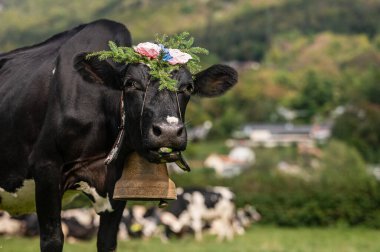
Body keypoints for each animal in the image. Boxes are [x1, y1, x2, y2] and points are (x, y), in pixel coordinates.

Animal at [0, 18, 238, 251]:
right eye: (130, 84)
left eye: (188, 88)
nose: (168, 132)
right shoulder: (46, 166)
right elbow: (53, 239)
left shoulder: (117, 185)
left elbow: (107, 241)